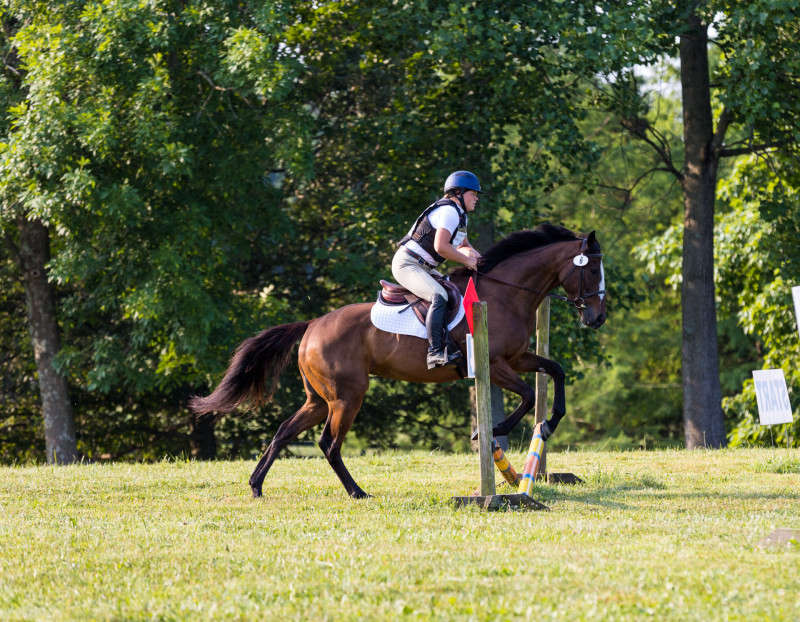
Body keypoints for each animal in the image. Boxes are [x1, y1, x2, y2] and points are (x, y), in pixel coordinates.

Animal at [191, 222, 608, 500]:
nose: (597, 318)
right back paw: (357, 492)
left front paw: (550, 421)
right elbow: (526, 395)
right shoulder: (495, 364)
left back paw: (256, 486)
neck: (506, 293)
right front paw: (487, 431)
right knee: (329, 444)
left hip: (319, 399)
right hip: (347, 396)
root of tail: (311, 326)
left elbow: (555, 371)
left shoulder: (518, 358)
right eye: (590, 269)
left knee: (283, 432)